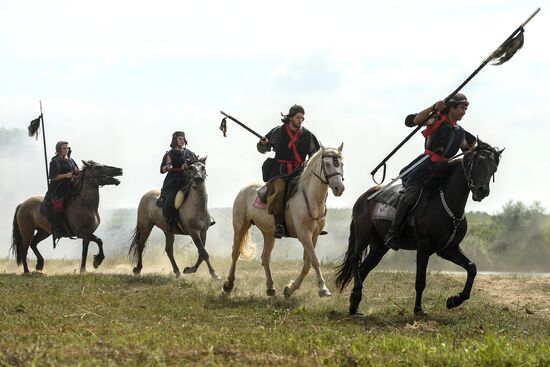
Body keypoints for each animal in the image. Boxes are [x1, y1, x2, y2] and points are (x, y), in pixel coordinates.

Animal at [223, 144, 344, 300]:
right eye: (327, 164)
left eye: (340, 164)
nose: (339, 188)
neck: (311, 199)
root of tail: (244, 189)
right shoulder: (304, 235)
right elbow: (315, 261)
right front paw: (323, 289)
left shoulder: (314, 236)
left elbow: (307, 264)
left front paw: (290, 289)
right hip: (241, 226)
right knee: (235, 253)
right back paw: (228, 285)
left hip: (268, 233)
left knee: (265, 257)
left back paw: (270, 288)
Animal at [336, 141, 504, 316]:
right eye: (479, 162)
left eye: (494, 168)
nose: (482, 191)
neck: (446, 204)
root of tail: (363, 198)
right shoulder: (423, 248)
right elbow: (420, 281)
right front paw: (418, 310)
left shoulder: (448, 249)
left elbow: (472, 268)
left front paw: (454, 300)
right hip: (363, 236)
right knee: (355, 259)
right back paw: (356, 295)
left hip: (379, 247)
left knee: (364, 269)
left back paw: (354, 305)